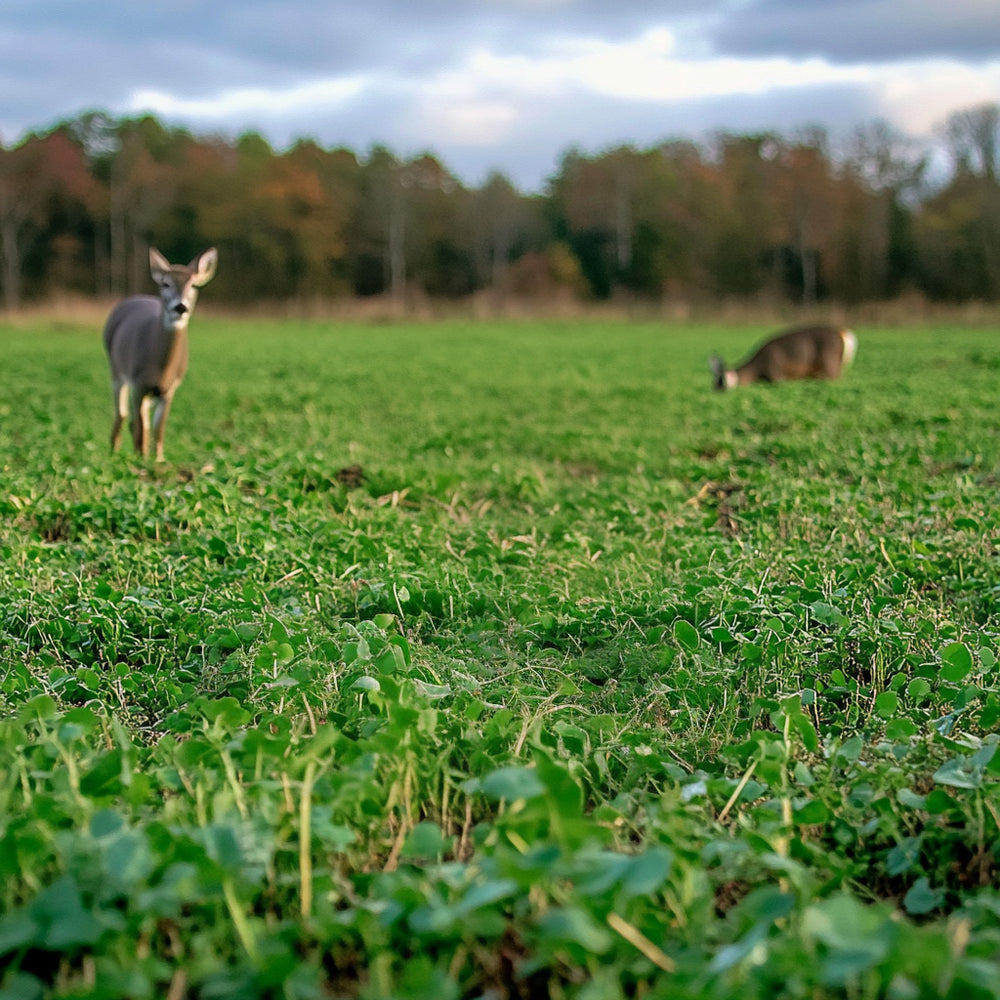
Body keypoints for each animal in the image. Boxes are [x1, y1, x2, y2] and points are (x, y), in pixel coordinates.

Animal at [104, 247, 217, 461]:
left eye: (193, 285)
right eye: (166, 283)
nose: (180, 307)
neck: (161, 368)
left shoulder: (169, 389)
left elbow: (158, 428)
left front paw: (157, 459)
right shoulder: (138, 383)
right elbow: (139, 426)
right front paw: (141, 459)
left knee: (139, 420)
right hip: (116, 369)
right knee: (122, 414)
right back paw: (114, 452)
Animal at [709, 323, 857, 391]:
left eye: (720, 380)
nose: (714, 390)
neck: (757, 370)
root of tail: (843, 333)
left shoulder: (776, 374)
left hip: (830, 365)